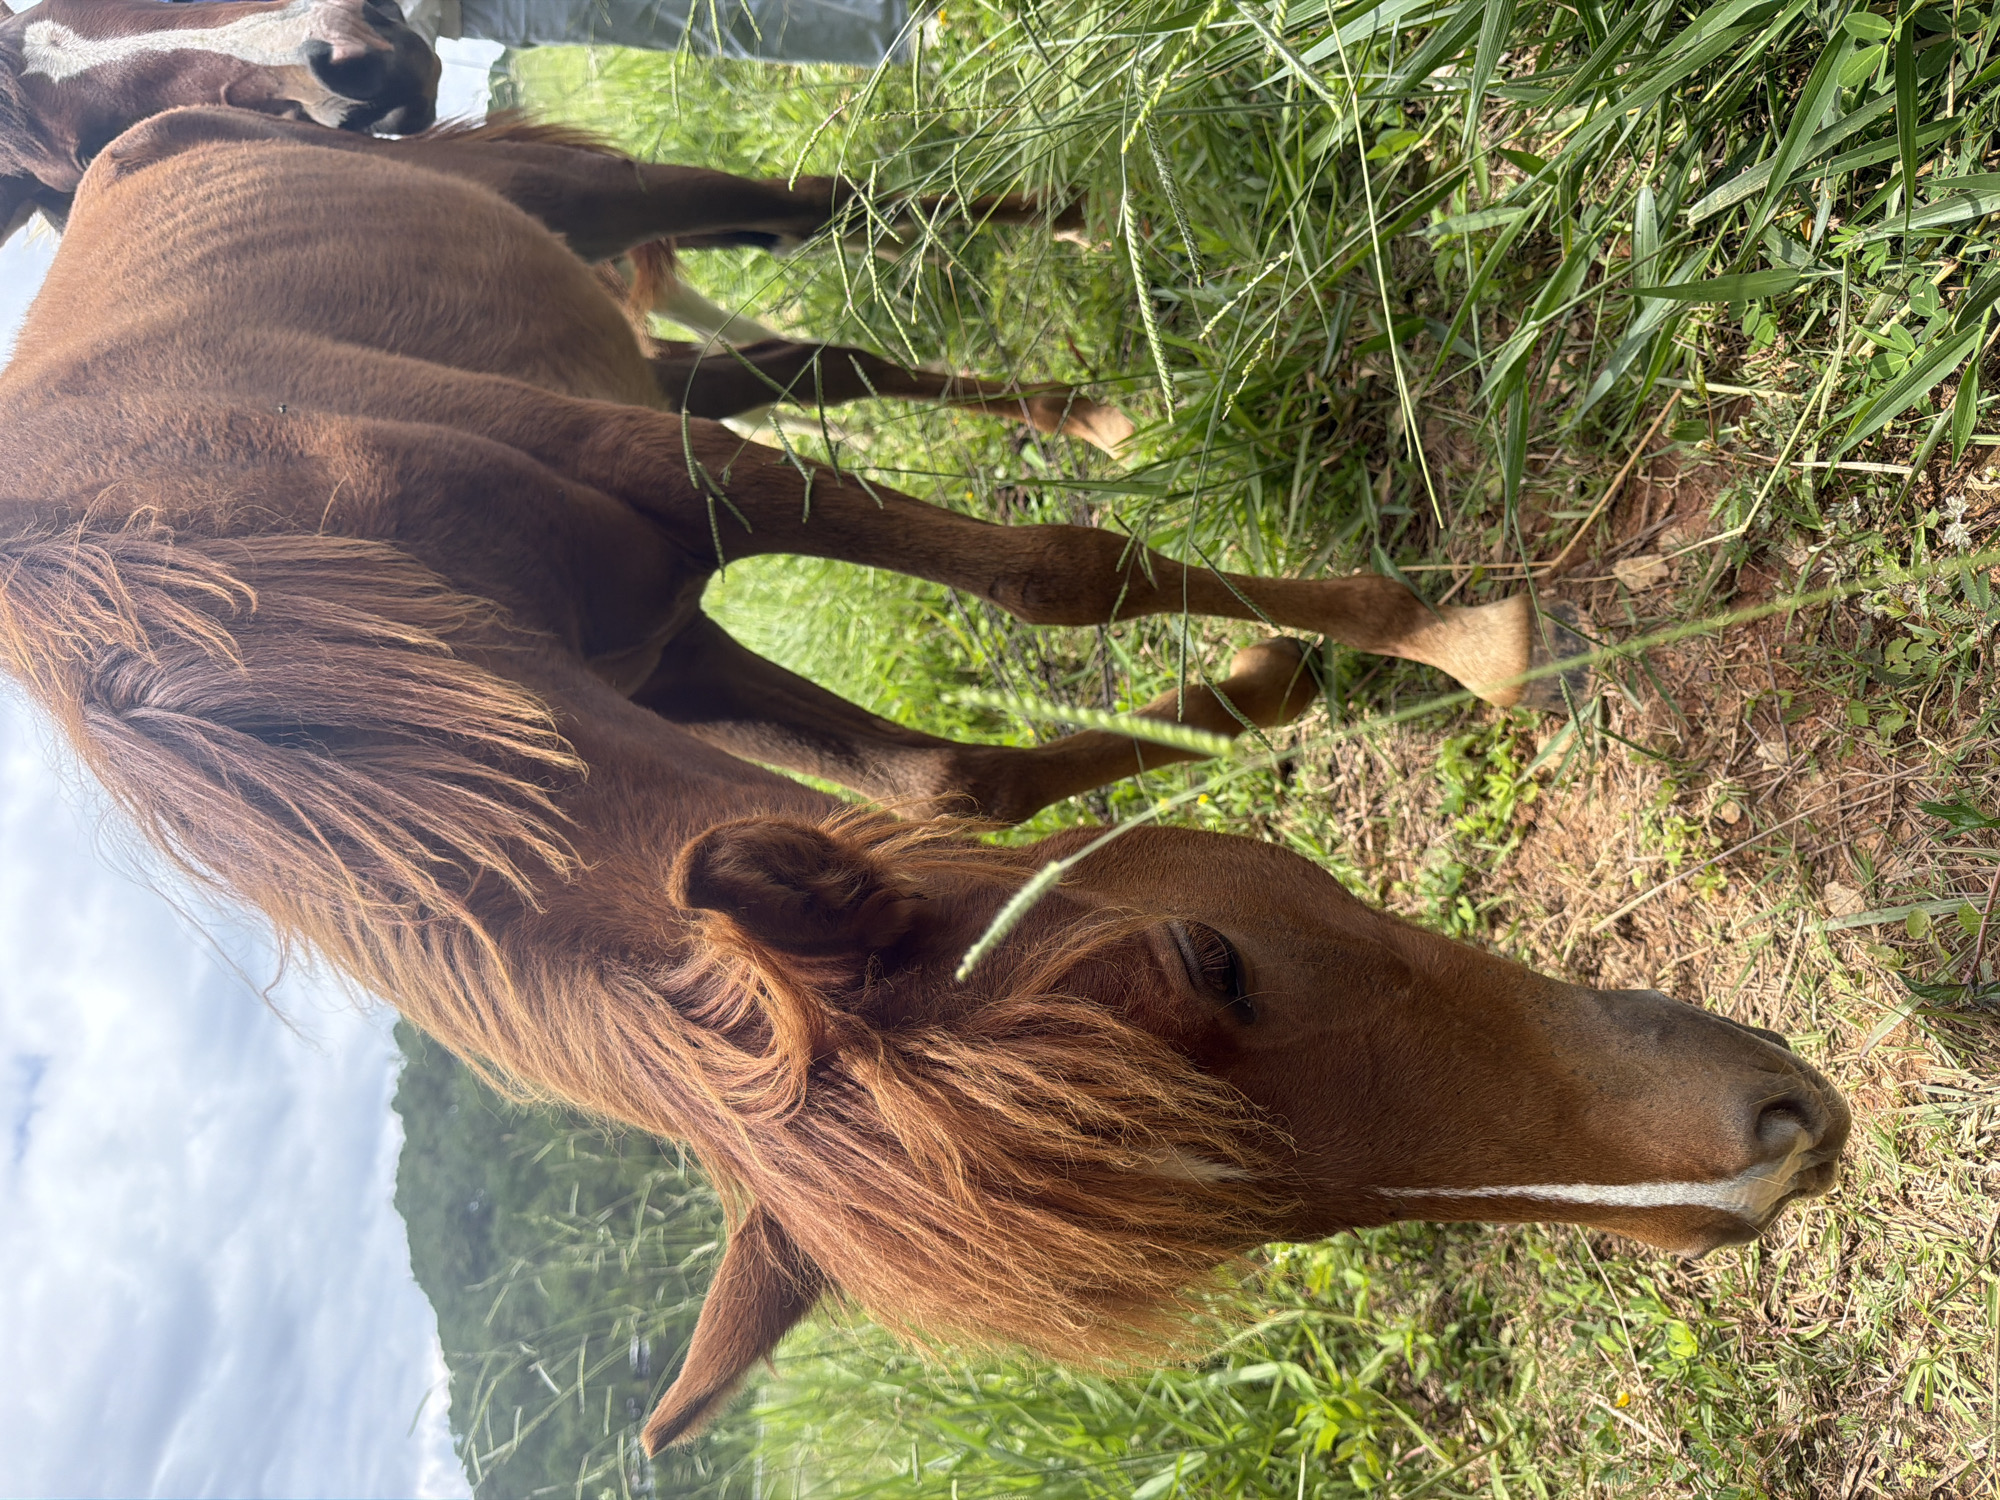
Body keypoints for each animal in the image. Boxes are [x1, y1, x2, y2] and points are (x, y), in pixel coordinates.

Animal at [0, 105, 1851, 1455]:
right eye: (1247, 1228)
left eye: (1210, 959)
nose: (1763, 1159)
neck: (253, 577)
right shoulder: (668, 655)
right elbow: (952, 785)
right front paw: (1261, 682)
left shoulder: (683, 499)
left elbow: (1052, 578)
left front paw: (1452, 638)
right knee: (804, 361)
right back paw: (1086, 407)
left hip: (584, 215)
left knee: (818, 233)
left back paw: (1069, 256)